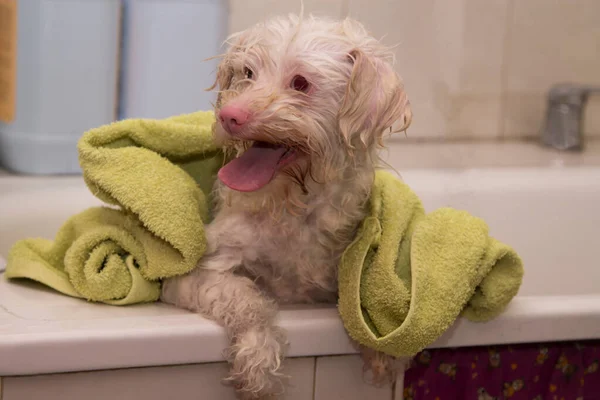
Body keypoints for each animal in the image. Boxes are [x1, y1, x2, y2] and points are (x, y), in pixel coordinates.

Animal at [159, 14, 412, 398]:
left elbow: (357, 303)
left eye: (301, 83)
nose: (228, 115)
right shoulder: (192, 273)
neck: (294, 210)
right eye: (247, 73)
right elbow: (248, 300)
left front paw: (381, 348)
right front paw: (258, 361)